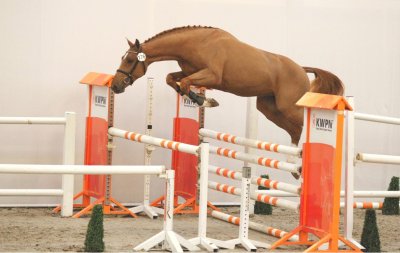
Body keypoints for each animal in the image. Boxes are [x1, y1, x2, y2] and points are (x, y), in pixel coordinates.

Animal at [112, 25, 344, 148]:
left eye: (129, 60)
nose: (115, 86)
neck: (196, 44)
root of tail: (301, 69)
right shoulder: (189, 72)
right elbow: (172, 79)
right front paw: (201, 99)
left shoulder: (212, 76)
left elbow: (185, 83)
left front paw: (205, 100)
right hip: (270, 108)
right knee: (294, 130)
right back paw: (296, 165)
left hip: (288, 107)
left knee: (301, 125)